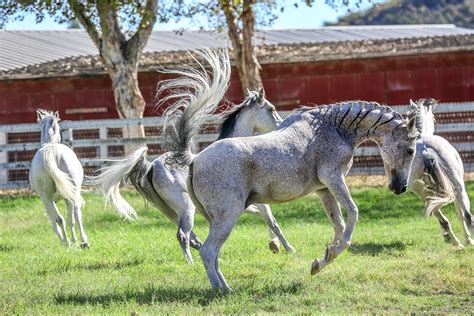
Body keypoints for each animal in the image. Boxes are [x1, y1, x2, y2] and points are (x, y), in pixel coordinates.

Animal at [28, 110, 89, 248]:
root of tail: (52, 152)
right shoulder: (67, 196)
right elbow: (71, 219)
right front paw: (74, 240)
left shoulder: (48, 200)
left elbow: (55, 222)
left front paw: (66, 240)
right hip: (72, 192)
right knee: (76, 212)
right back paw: (83, 242)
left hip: (47, 198)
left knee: (59, 219)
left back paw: (66, 243)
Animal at [94, 47, 294, 264]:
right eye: (272, 109)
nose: (281, 125)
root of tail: (151, 167)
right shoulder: (255, 201)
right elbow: (272, 220)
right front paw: (287, 248)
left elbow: (262, 216)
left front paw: (274, 244)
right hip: (185, 207)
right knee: (183, 235)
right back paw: (191, 263)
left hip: (170, 212)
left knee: (191, 237)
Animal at [163, 98, 418, 292]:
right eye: (410, 150)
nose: (401, 187)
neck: (333, 127)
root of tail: (194, 160)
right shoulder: (333, 179)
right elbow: (352, 215)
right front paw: (331, 253)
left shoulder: (324, 190)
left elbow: (338, 225)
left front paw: (321, 261)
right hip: (228, 217)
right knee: (208, 252)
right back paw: (223, 291)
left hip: (218, 220)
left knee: (213, 254)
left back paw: (225, 286)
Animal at [408, 98, 474, 247]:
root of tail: (426, 151)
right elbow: (460, 214)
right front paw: (466, 239)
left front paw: (447, 236)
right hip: (458, 188)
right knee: (467, 216)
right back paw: (463, 243)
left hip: (424, 193)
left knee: (443, 219)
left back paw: (455, 242)